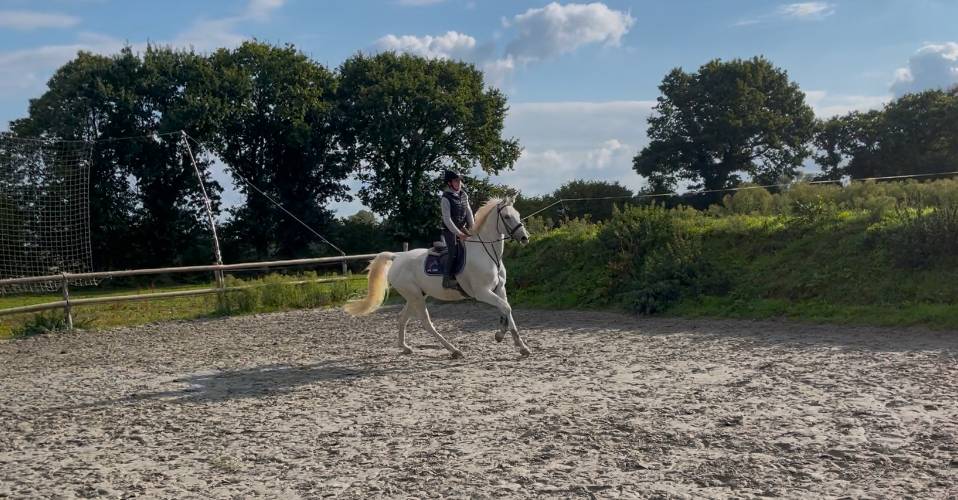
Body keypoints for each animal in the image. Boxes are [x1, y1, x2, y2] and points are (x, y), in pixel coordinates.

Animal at [343, 196, 532, 358]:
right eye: (507, 216)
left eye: (518, 215)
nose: (524, 238)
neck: (487, 253)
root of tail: (397, 257)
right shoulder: (482, 292)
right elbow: (505, 308)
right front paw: (500, 335)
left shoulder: (500, 289)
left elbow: (507, 309)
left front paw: (521, 346)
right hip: (415, 296)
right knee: (426, 323)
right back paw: (454, 350)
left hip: (416, 295)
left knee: (402, 318)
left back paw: (405, 347)